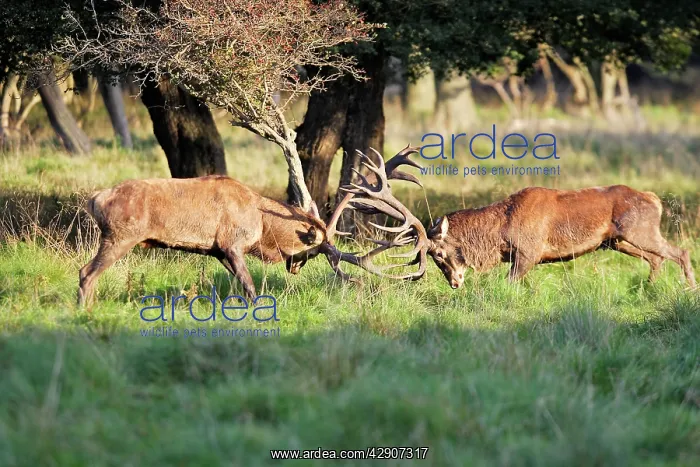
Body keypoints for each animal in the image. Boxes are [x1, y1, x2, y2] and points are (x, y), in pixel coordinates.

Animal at [77, 146, 430, 307]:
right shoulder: (233, 243)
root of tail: (95, 199)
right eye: (313, 252)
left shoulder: (218, 251)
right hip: (121, 236)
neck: (262, 225)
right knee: (86, 273)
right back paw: (85, 310)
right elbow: (250, 287)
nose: (295, 268)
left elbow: (239, 284)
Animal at [426, 185, 696, 289]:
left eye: (438, 254)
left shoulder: (529, 252)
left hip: (640, 231)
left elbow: (509, 284)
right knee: (656, 258)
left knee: (680, 252)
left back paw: (691, 289)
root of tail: (655, 200)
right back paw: (646, 289)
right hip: (617, 241)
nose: (454, 283)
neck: (499, 234)